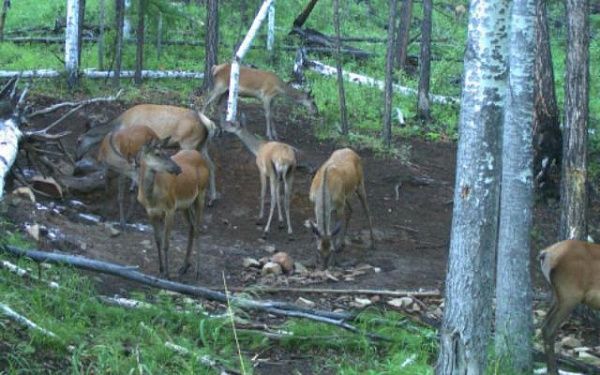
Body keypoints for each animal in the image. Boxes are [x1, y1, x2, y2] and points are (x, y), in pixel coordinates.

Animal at [76, 103, 219, 220]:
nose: (77, 157)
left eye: (78, 140)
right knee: (211, 166)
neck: (120, 124)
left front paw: (133, 186)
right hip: (202, 144)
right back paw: (212, 199)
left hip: (188, 143)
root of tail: (209, 124)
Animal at [135, 134, 210, 278]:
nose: (178, 168)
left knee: (197, 228)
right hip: (185, 205)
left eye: (166, 152)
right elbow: (157, 240)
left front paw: (167, 274)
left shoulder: (169, 208)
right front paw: (161, 269)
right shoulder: (150, 212)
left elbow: (166, 243)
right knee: (191, 226)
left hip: (201, 192)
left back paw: (197, 270)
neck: (151, 199)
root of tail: (197, 154)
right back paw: (184, 266)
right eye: (157, 153)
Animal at [540, 241, 600, 375]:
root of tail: (545, 253)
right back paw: (554, 371)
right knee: (549, 328)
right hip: (570, 294)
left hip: (558, 295)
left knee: (544, 323)